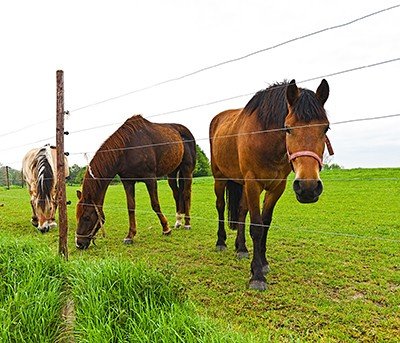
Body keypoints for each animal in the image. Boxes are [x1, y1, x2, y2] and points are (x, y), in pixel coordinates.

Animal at [75, 115, 197, 250]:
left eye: (86, 217)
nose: (79, 243)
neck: (127, 148)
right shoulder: (128, 182)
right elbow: (131, 207)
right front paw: (130, 235)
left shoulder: (150, 179)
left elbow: (155, 204)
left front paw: (166, 229)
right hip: (172, 172)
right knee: (177, 193)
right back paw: (178, 221)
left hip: (187, 170)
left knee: (186, 193)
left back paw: (187, 223)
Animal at [211, 78, 332, 290]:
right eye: (288, 128)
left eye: (325, 128)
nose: (308, 188)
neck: (265, 140)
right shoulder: (253, 184)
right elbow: (256, 227)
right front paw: (257, 276)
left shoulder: (277, 187)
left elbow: (265, 223)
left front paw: (263, 263)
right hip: (220, 178)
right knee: (220, 206)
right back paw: (221, 242)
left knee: (241, 212)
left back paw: (241, 248)